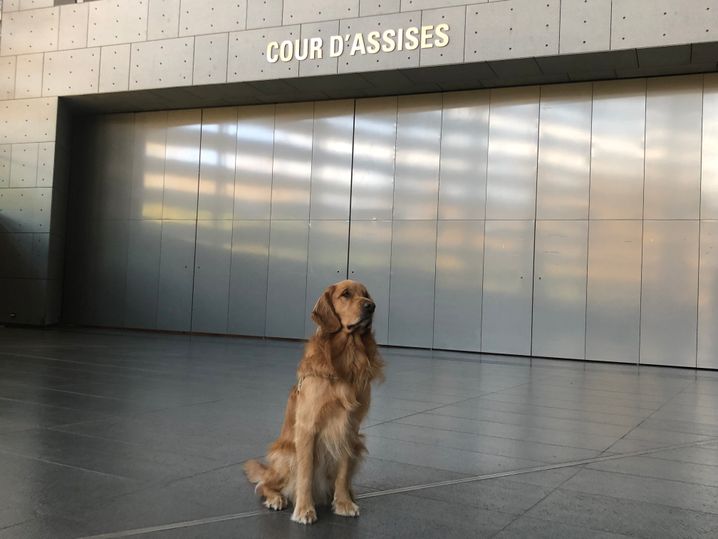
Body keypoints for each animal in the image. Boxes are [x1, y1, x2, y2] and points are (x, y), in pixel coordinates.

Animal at [245, 280, 386, 524]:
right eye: (346, 294)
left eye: (366, 294)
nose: (371, 306)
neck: (346, 357)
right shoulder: (307, 427)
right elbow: (305, 474)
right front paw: (304, 509)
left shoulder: (349, 428)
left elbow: (342, 473)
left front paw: (343, 503)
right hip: (286, 454)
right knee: (265, 484)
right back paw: (276, 498)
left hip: (358, 445)